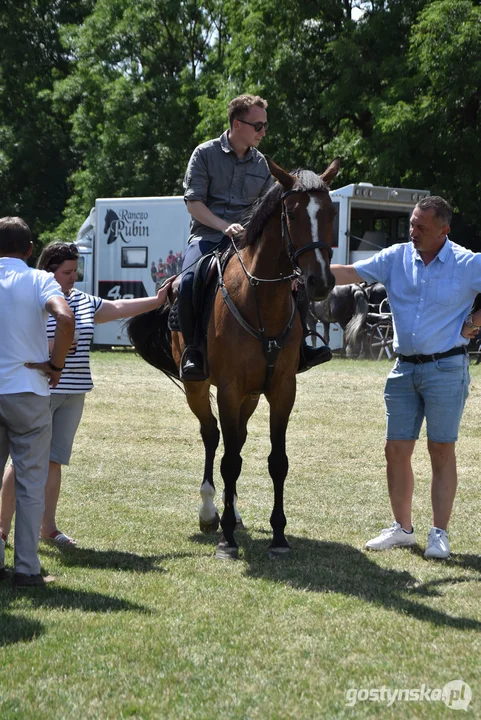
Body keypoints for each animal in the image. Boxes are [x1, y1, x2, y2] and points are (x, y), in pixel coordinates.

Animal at [126, 158, 338, 560]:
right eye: (291, 213)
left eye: (331, 212)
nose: (320, 281)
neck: (261, 301)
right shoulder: (227, 389)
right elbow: (227, 461)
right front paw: (226, 538)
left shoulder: (281, 390)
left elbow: (276, 461)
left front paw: (279, 535)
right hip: (197, 387)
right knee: (212, 437)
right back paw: (211, 511)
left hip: (250, 397)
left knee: (235, 440)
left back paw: (233, 511)